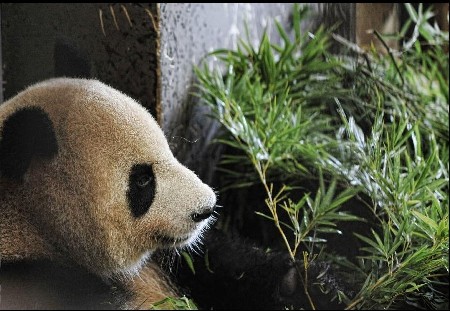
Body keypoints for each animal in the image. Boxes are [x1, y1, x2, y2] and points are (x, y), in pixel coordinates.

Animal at [0, 77, 350, 310]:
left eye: (170, 150)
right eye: (143, 180)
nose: (206, 209)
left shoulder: (172, 261)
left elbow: (220, 267)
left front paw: (309, 284)